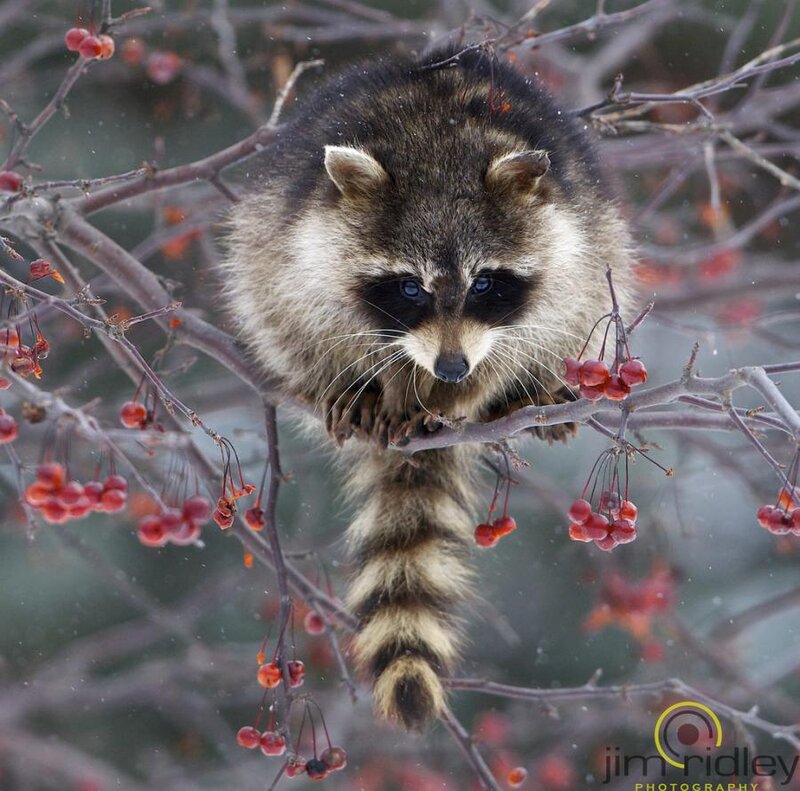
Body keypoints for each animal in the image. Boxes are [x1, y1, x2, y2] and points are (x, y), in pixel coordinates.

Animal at [224, 46, 634, 730]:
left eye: (485, 284)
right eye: (409, 288)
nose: (449, 371)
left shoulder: (570, 247)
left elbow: (536, 324)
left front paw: (478, 391)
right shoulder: (299, 244)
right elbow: (311, 309)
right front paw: (376, 382)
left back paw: (524, 393)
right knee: (280, 313)